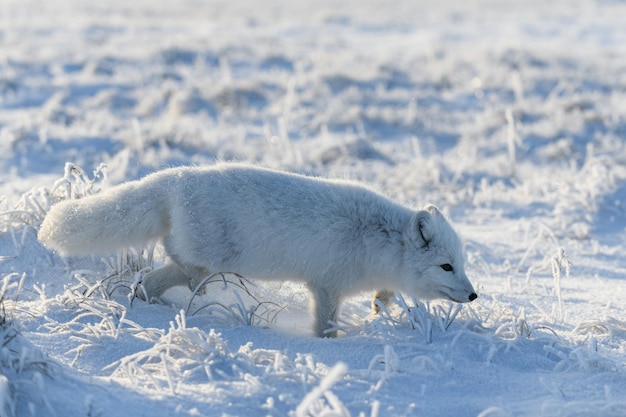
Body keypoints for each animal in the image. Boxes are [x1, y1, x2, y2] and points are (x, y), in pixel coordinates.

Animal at [39, 162, 476, 334]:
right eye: (447, 267)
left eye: (461, 264)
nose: (473, 295)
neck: (377, 241)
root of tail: (175, 177)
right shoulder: (326, 286)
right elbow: (326, 329)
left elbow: (383, 296)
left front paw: (378, 308)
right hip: (205, 262)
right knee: (173, 269)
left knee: (149, 280)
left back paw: (147, 304)